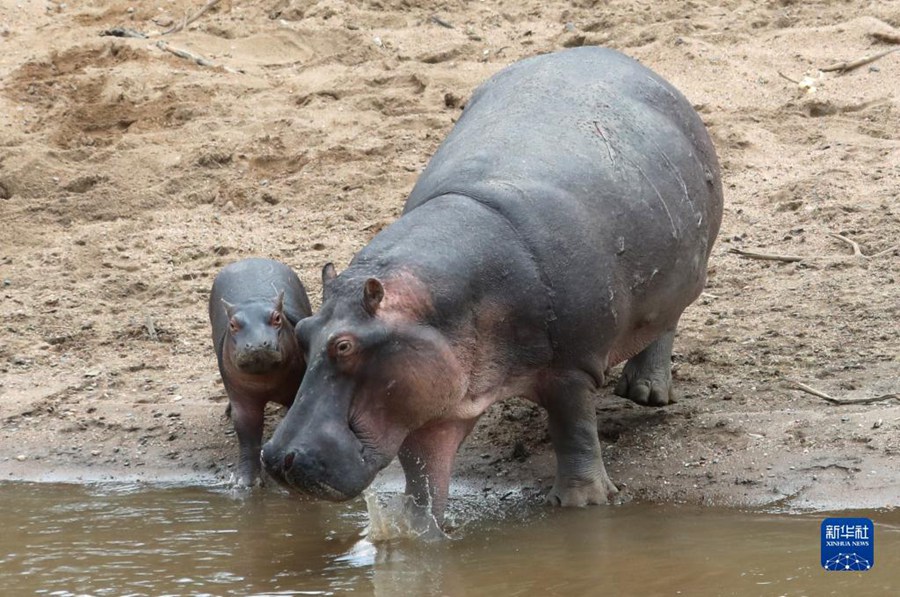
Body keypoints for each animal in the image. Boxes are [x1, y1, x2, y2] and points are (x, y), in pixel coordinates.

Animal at [211, 258, 312, 486]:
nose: (257, 344)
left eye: (277, 318)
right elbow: (247, 432)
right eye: (233, 324)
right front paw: (245, 483)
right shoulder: (242, 398)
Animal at [260, 47, 724, 516]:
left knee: (664, 326)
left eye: (344, 346)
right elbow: (425, 470)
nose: (278, 459)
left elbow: (574, 430)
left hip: (681, 276)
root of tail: (619, 56)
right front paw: (418, 523)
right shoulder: (433, 390)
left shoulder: (571, 368)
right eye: (303, 332)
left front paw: (583, 503)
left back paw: (646, 392)